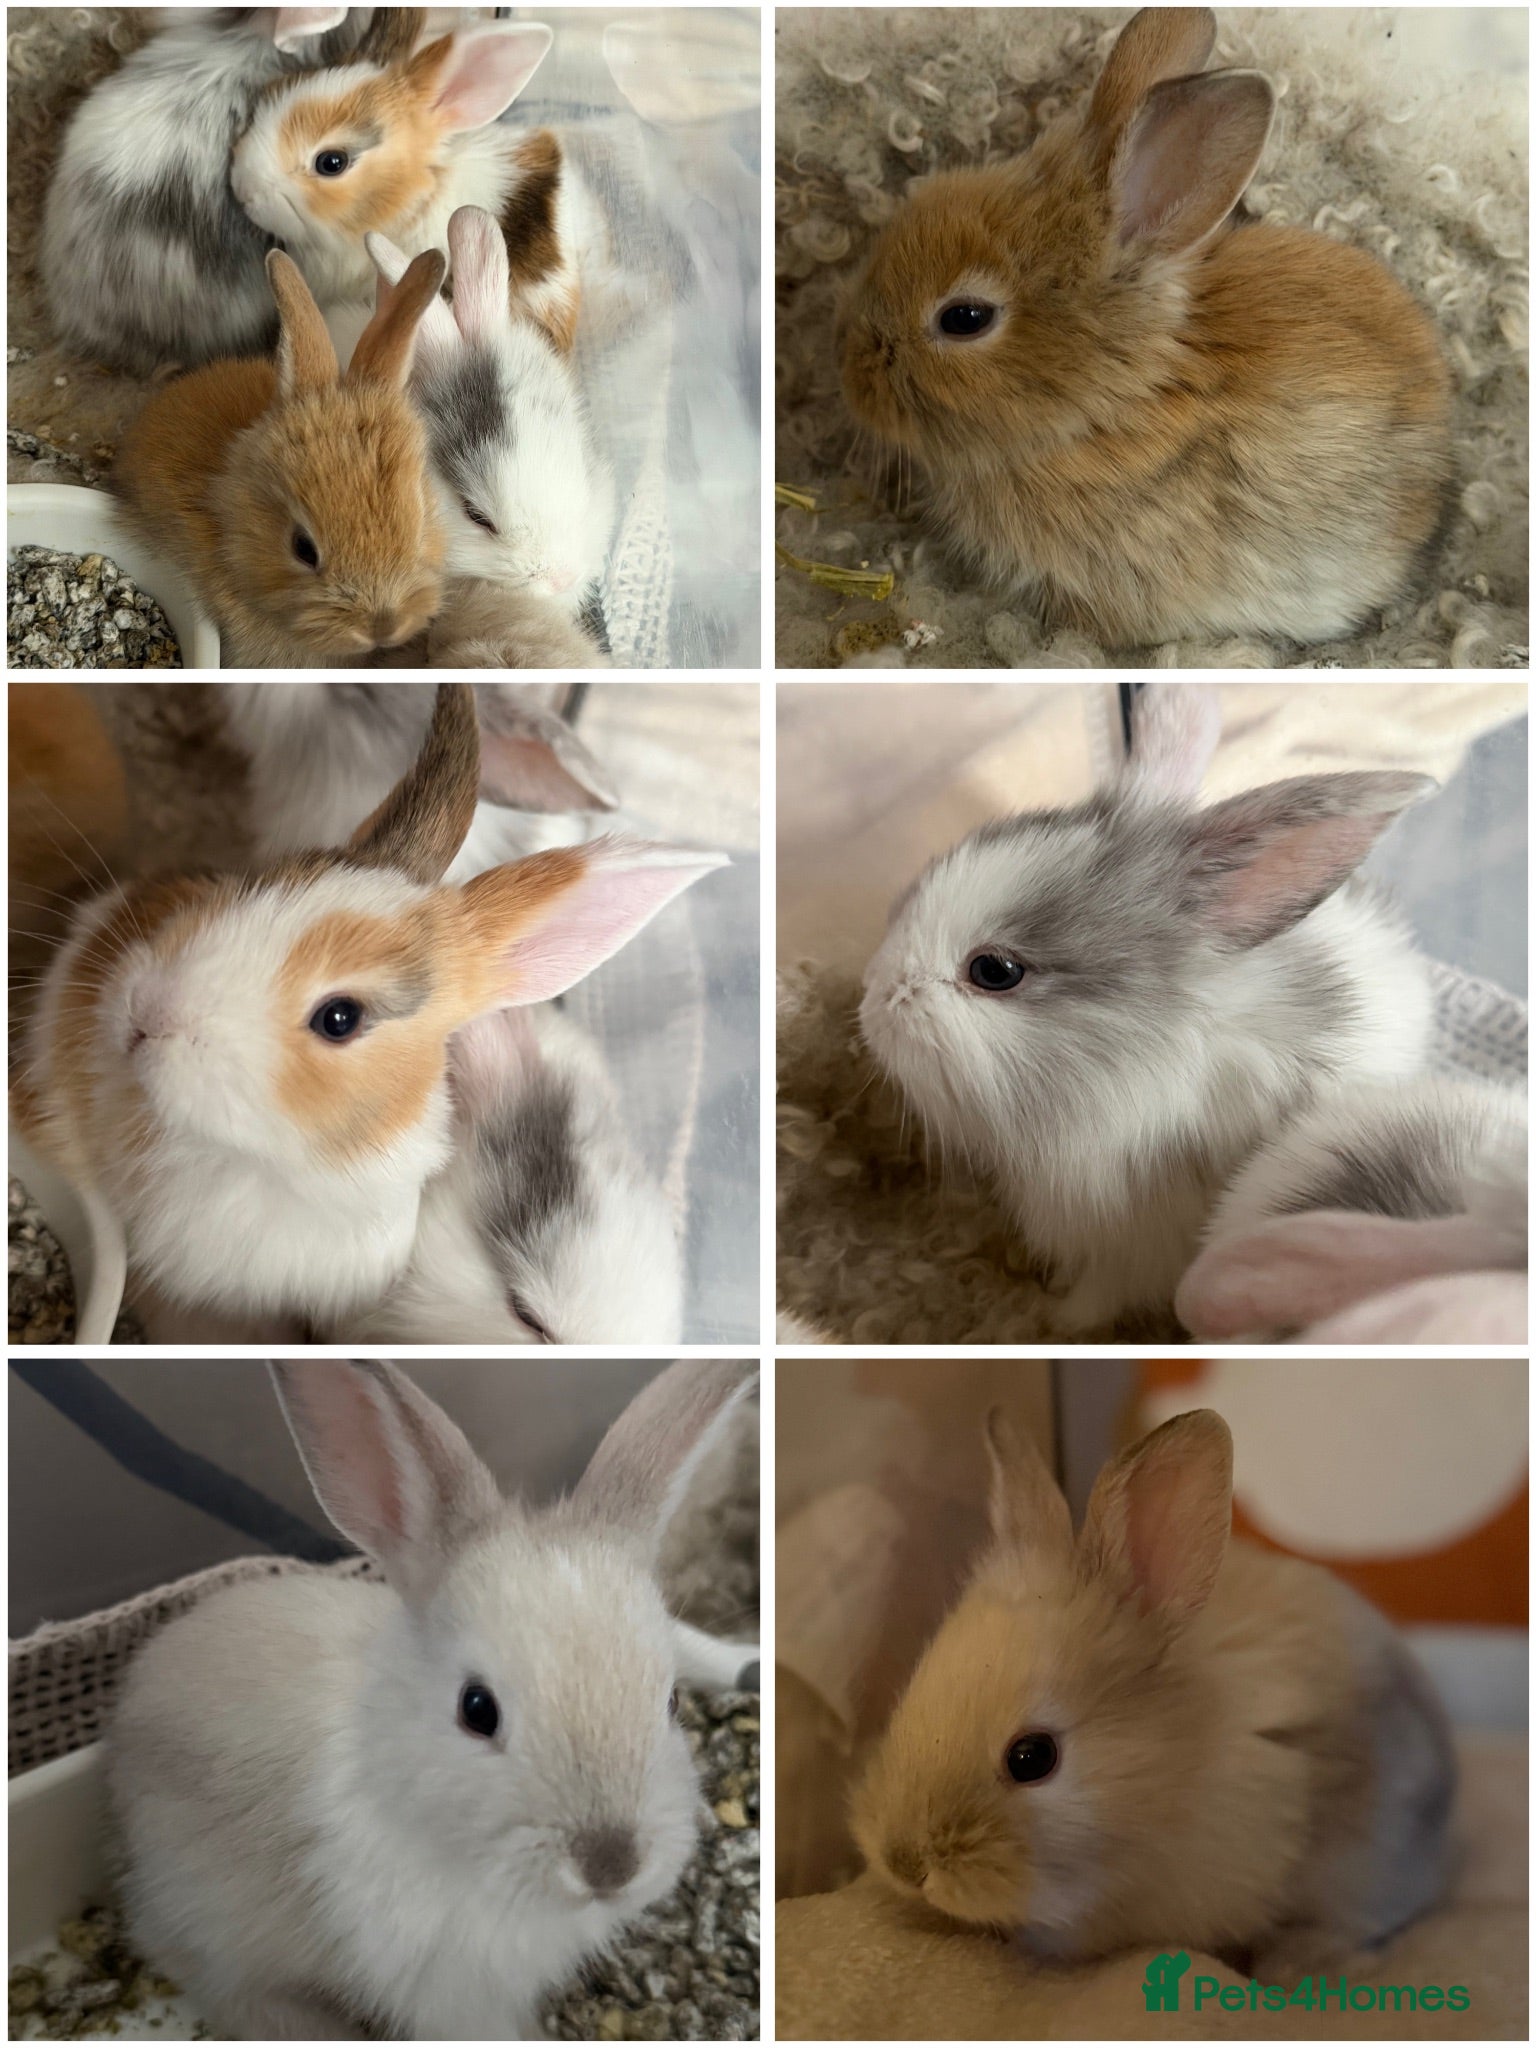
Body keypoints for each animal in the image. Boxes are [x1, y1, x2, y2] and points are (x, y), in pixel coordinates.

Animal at [859, 683, 1437, 1335]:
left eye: (994, 972)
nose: (871, 996)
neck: (1131, 1063)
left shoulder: (1130, 1252)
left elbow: (1090, 1302)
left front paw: (1049, 1321)